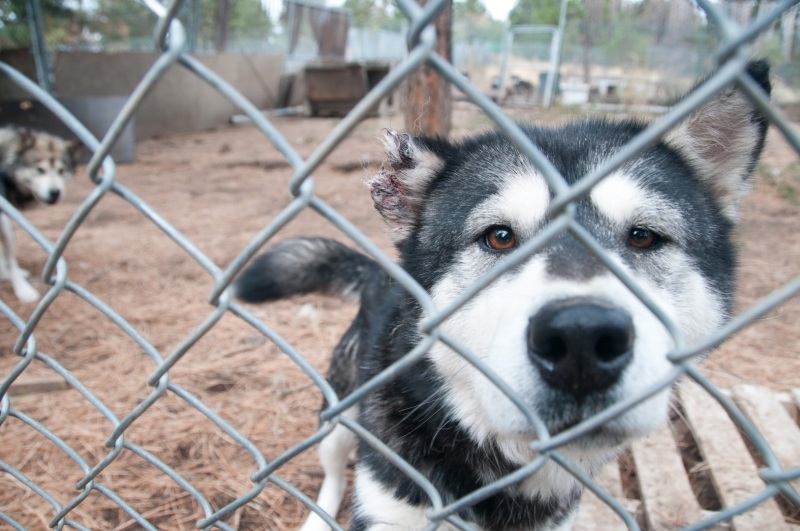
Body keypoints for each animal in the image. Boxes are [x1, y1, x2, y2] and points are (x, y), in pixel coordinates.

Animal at [236, 63, 768, 531]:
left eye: (642, 237)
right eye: (499, 237)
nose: (581, 340)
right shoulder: (391, 504)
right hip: (341, 416)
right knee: (330, 471)